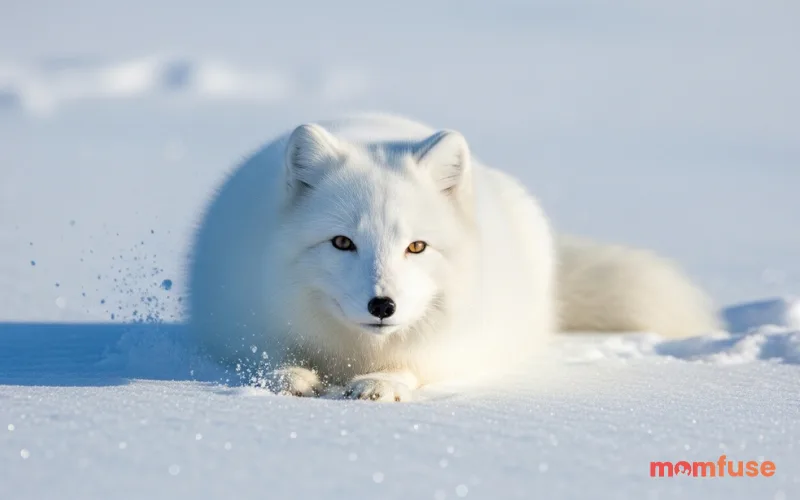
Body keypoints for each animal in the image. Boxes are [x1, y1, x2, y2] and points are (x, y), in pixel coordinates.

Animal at [187, 113, 720, 401]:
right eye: (342, 243)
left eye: (416, 246)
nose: (383, 306)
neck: (358, 349)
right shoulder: (243, 317)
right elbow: (268, 355)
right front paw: (289, 375)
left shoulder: (458, 340)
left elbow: (415, 362)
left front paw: (381, 382)